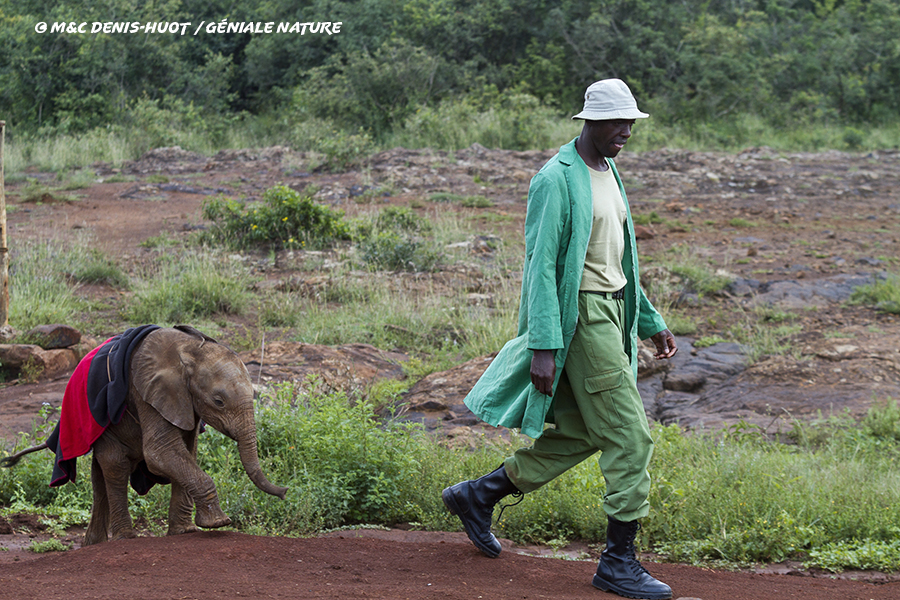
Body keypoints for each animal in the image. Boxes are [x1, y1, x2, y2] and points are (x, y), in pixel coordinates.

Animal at [0, 326, 286, 548]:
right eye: (218, 401)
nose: (285, 492)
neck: (191, 349)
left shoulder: (184, 402)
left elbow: (185, 451)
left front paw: (185, 532)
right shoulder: (146, 391)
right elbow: (160, 452)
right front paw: (218, 523)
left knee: (99, 474)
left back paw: (93, 544)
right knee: (115, 466)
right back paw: (125, 538)